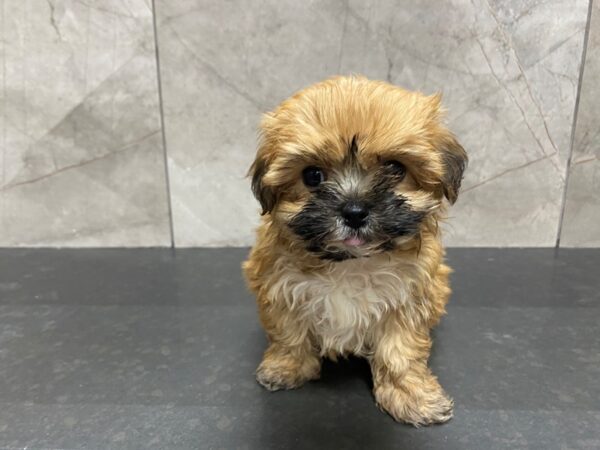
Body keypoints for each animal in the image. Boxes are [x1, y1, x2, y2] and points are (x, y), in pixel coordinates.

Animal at [241, 74, 466, 426]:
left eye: (395, 168)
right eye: (312, 175)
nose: (355, 211)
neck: (351, 263)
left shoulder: (410, 298)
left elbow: (399, 352)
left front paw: (410, 395)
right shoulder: (279, 287)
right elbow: (289, 333)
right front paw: (286, 368)